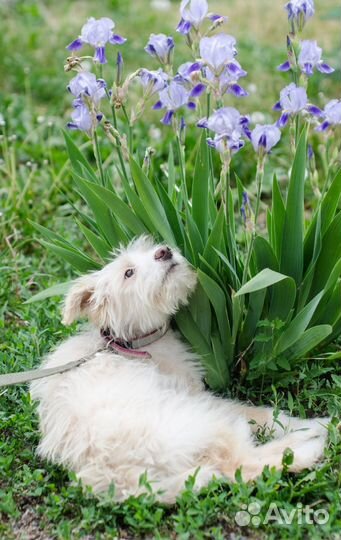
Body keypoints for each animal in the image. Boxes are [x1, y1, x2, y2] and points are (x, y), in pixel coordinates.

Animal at [30, 236, 328, 502]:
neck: (129, 343)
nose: (164, 252)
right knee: (242, 466)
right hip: (204, 420)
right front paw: (313, 423)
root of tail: (116, 476)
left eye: (150, 249)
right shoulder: (196, 394)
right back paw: (309, 445)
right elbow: (261, 414)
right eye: (128, 272)